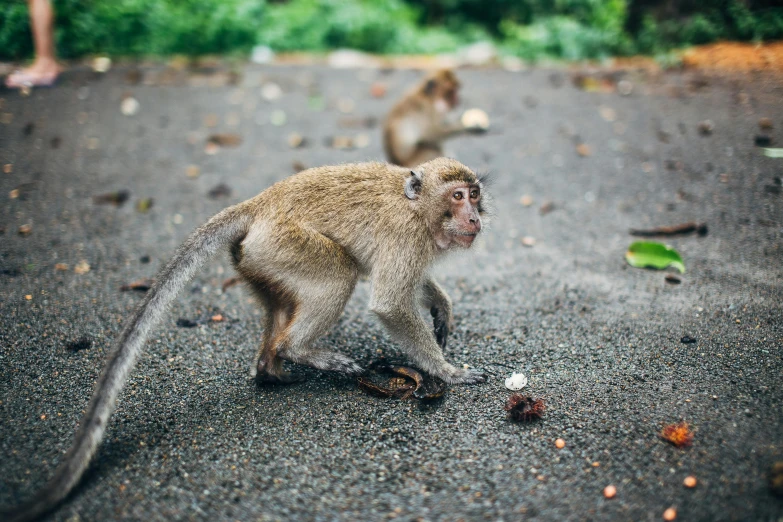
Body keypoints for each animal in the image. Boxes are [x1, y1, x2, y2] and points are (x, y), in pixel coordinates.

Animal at [3, 156, 486, 516]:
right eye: (457, 196)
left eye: (475, 194)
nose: (476, 217)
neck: (417, 207)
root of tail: (260, 203)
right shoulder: (406, 237)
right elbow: (390, 301)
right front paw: (447, 371)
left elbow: (411, 289)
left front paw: (441, 305)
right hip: (284, 244)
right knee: (338, 273)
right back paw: (299, 351)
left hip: (257, 257)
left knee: (283, 303)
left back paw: (271, 367)